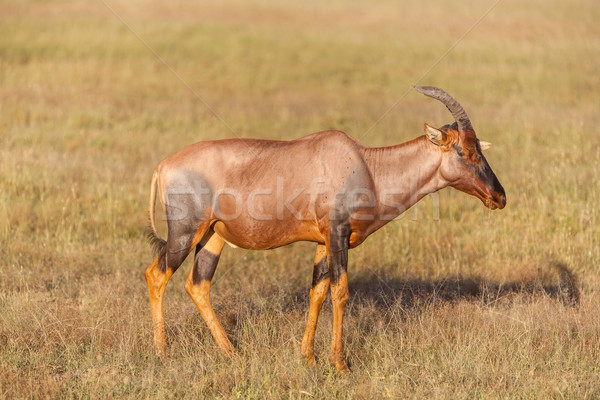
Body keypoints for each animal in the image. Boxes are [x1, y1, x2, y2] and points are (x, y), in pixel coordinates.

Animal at [145, 86, 506, 374]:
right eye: (466, 150)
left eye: (479, 148)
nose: (499, 197)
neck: (366, 165)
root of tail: (163, 166)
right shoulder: (337, 235)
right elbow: (340, 292)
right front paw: (340, 364)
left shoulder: (323, 241)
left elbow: (317, 292)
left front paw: (309, 358)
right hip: (185, 232)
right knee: (156, 275)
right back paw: (163, 354)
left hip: (213, 237)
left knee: (198, 285)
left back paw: (232, 354)